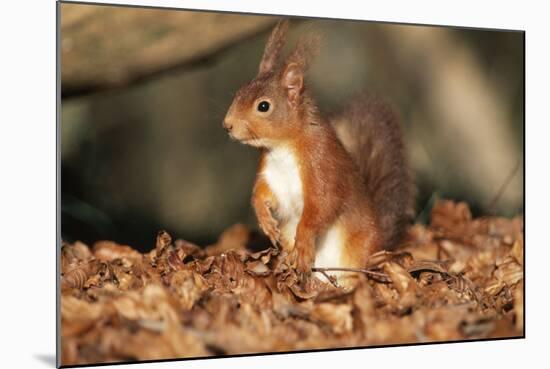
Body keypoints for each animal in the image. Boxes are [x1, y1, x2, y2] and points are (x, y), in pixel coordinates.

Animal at [224, 19, 414, 284]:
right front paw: (266, 222)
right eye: (240, 92)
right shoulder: (270, 174)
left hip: (358, 251)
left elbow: (322, 207)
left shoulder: (321, 165)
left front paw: (303, 245)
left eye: (263, 106)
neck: (282, 148)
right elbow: (260, 195)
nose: (227, 125)